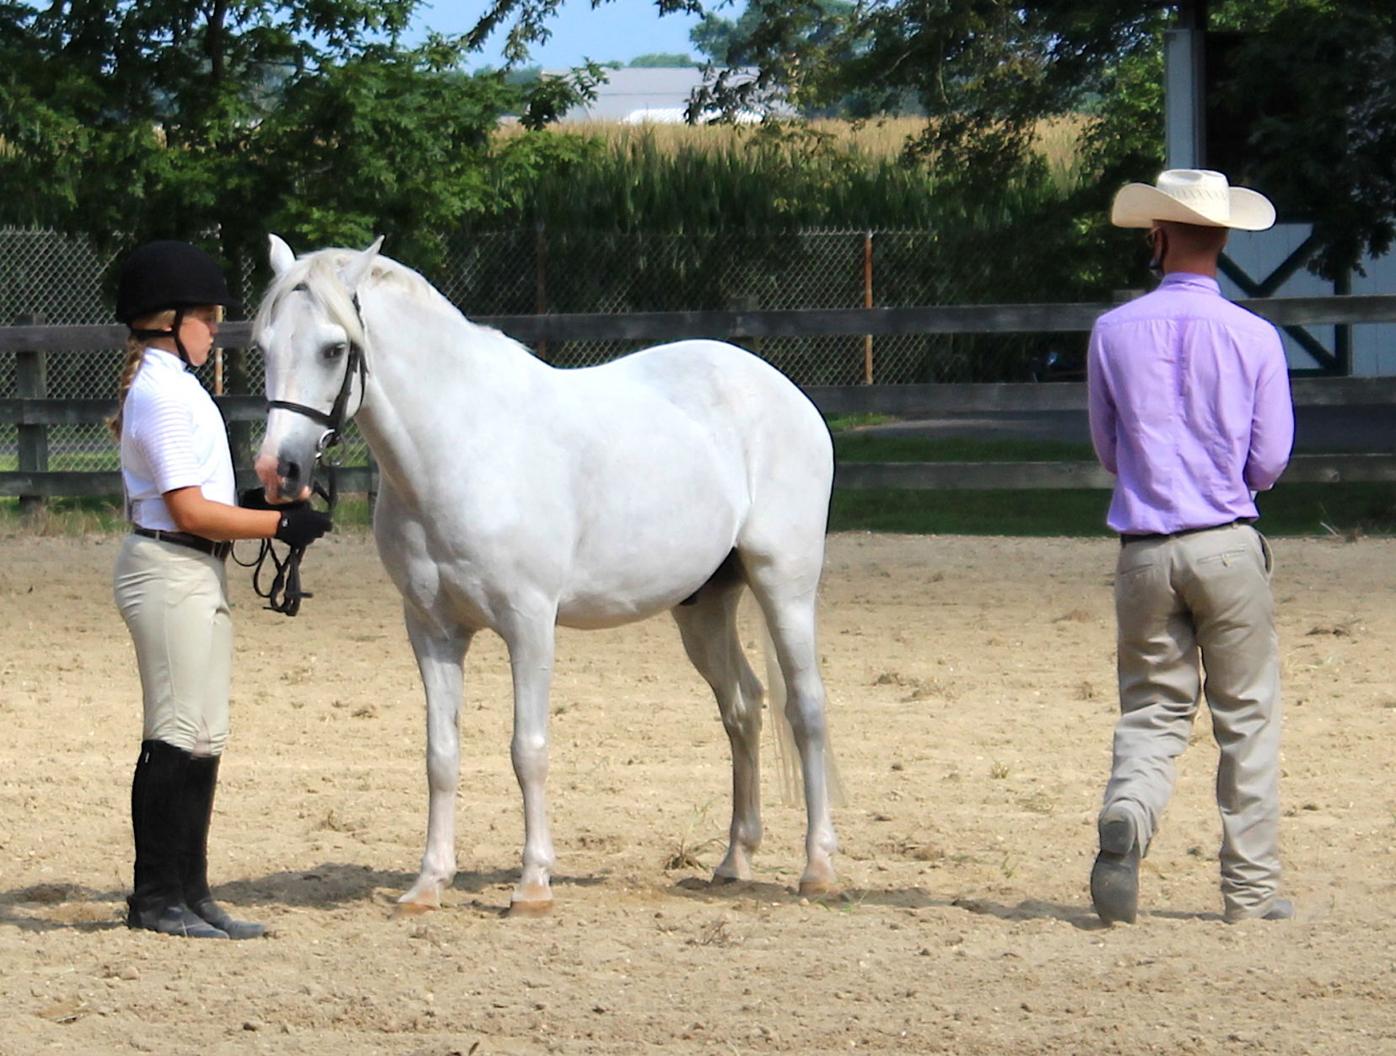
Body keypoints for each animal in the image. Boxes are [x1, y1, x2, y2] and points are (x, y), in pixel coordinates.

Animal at [251, 235, 841, 913]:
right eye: (264, 346)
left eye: (333, 348)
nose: (279, 471)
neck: (460, 447)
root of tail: (784, 392)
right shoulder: (431, 631)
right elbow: (441, 755)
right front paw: (428, 883)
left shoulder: (530, 624)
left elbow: (527, 750)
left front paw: (532, 884)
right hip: (704, 606)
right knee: (742, 707)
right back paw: (734, 859)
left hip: (785, 587)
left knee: (807, 709)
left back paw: (817, 867)